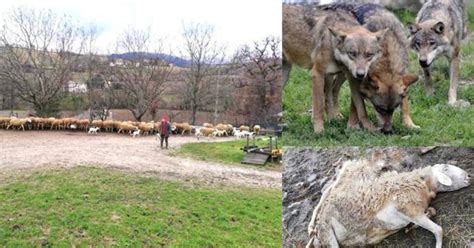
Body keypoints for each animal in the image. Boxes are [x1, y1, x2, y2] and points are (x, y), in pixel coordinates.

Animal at [282, 3, 388, 132]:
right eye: (352, 53)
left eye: (369, 55)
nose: (361, 74)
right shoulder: (317, 74)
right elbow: (319, 106)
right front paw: (319, 130)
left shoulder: (352, 79)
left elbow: (361, 108)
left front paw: (369, 128)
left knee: (330, 93)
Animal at [306, 159, 472, 248]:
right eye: (446, 168)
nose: (469, 176)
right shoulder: (406, 208)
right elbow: (439, 230)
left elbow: (432, 213)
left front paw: (410, 227)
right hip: (328, 231)